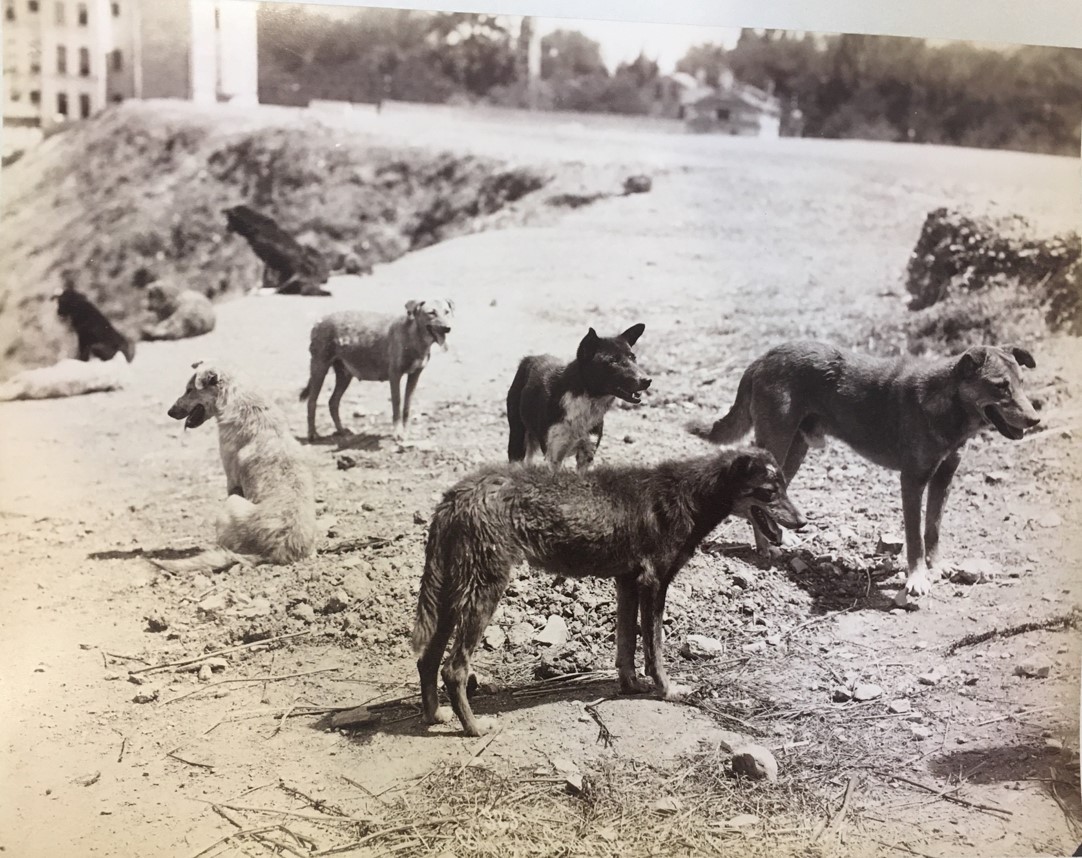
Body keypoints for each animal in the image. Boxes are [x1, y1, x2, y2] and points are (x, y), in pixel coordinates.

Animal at [302, 298, 454, 441]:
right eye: (431, 312)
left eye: (447, 312)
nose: (447, 328)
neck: (413, 336)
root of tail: (319, 321)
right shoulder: (395, 375)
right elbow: (397, 403)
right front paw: (398, 433)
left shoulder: (415, 375)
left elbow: (407, 406)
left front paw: (405, 432)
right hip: (319, 367)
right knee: (312, 402)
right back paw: (312, 434)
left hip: (344, 375)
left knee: (333, 402)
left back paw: (341, 431)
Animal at [411, 445, 805, 731]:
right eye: (768, 492)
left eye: (786, 487)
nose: (803, 521)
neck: (688, 494)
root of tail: (456, 494)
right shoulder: (654, 583)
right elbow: (655, 650)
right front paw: (667, 690)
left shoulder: (628, 582)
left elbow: (626, 646)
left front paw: (630, 686)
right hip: (483, 592)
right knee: (454, 670)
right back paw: (474, 728)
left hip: (454, 594)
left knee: (427, 660)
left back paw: (435, 716)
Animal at [506, 322, 649, 469]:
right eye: (613, 361)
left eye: (633, 358)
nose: (647, 380)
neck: (586, 400)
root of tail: (530, 358)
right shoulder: (554, 456)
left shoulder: (587, 454)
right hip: (517, 436)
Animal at [692, 337, 1038, 605]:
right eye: (1000, 387)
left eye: (1022, 384)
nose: (1035, 420)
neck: (946, 405)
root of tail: (763, 357)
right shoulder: (912, 481)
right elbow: (915, 537)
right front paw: (916, 578)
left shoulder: (944, 478)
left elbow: (933, 529)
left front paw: (936, 567)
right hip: (777, 443)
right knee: (755, 501)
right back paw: (765, 548)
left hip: (795, 450)